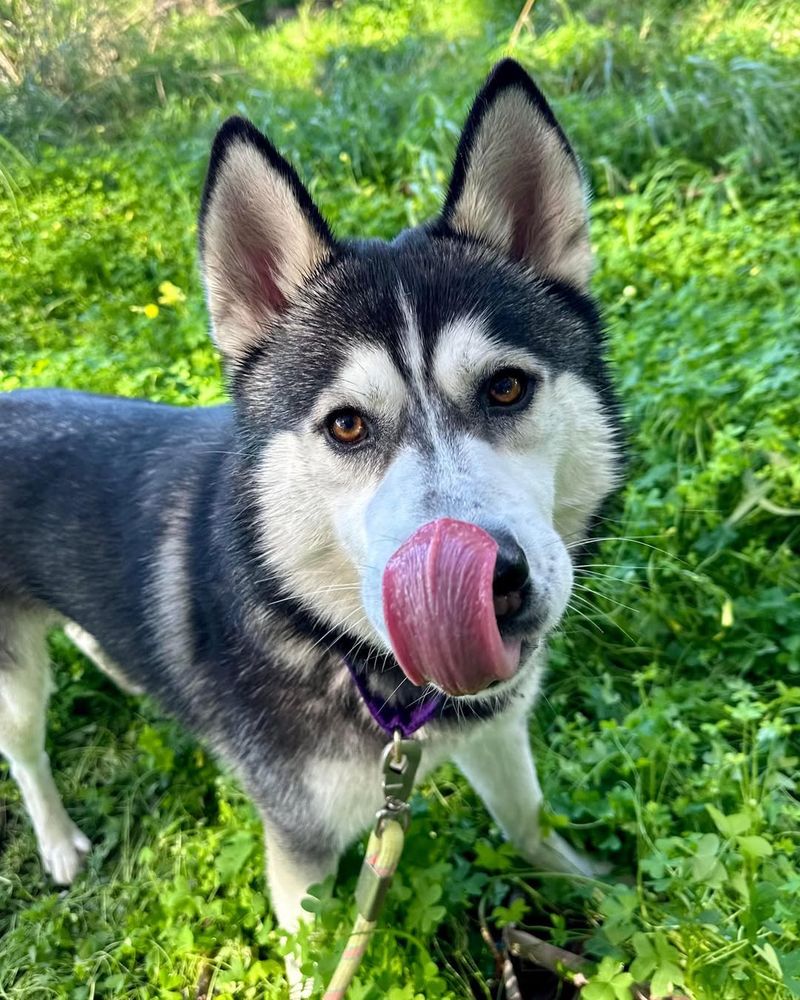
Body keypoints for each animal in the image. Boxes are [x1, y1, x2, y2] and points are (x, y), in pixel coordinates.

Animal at [0, 58, 624, 948]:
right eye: (347, 425)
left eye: (506, 387)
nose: (494, 582)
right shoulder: (299, 847)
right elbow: (313, 948)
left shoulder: (498, 735)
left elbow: (530, 826)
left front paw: (615, 901)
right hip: (16, 687)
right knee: (24, 752)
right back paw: (56, 840)